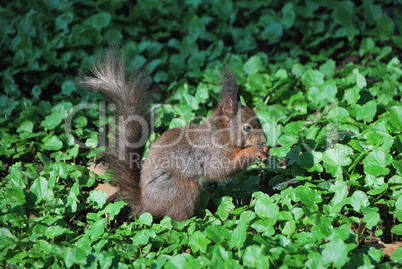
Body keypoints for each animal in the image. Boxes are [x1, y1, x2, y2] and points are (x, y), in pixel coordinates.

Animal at [81, 48, 268, 220]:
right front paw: (254, 151)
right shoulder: (213, 152)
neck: (222, 133)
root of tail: (144, 206)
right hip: (183, 190)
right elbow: (222, 169)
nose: (264, 140)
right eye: (247, 128)